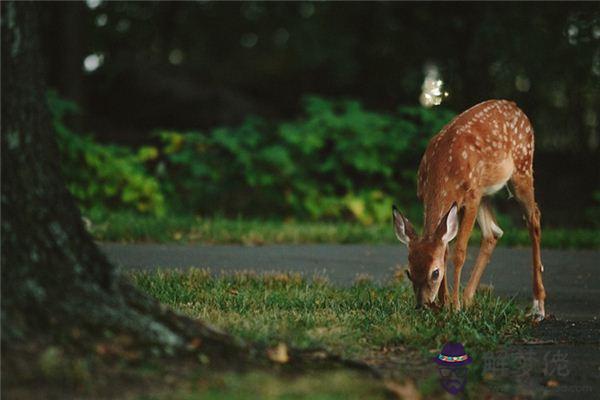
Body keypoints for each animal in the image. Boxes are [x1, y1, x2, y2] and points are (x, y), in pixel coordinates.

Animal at [394, 101, 548, 322]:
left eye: (435, 273)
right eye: (409, 272)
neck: (443, 171)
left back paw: (538, 306)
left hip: (522, 167)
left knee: (534, 218)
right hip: (486, 191)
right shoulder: (429, 196)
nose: (422, 305)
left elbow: (459, 252)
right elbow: (445, 248)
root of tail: (516, 107)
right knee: (494, 232)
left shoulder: (471, 198)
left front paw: (454, 306)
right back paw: (468, 298)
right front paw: (445, 304)